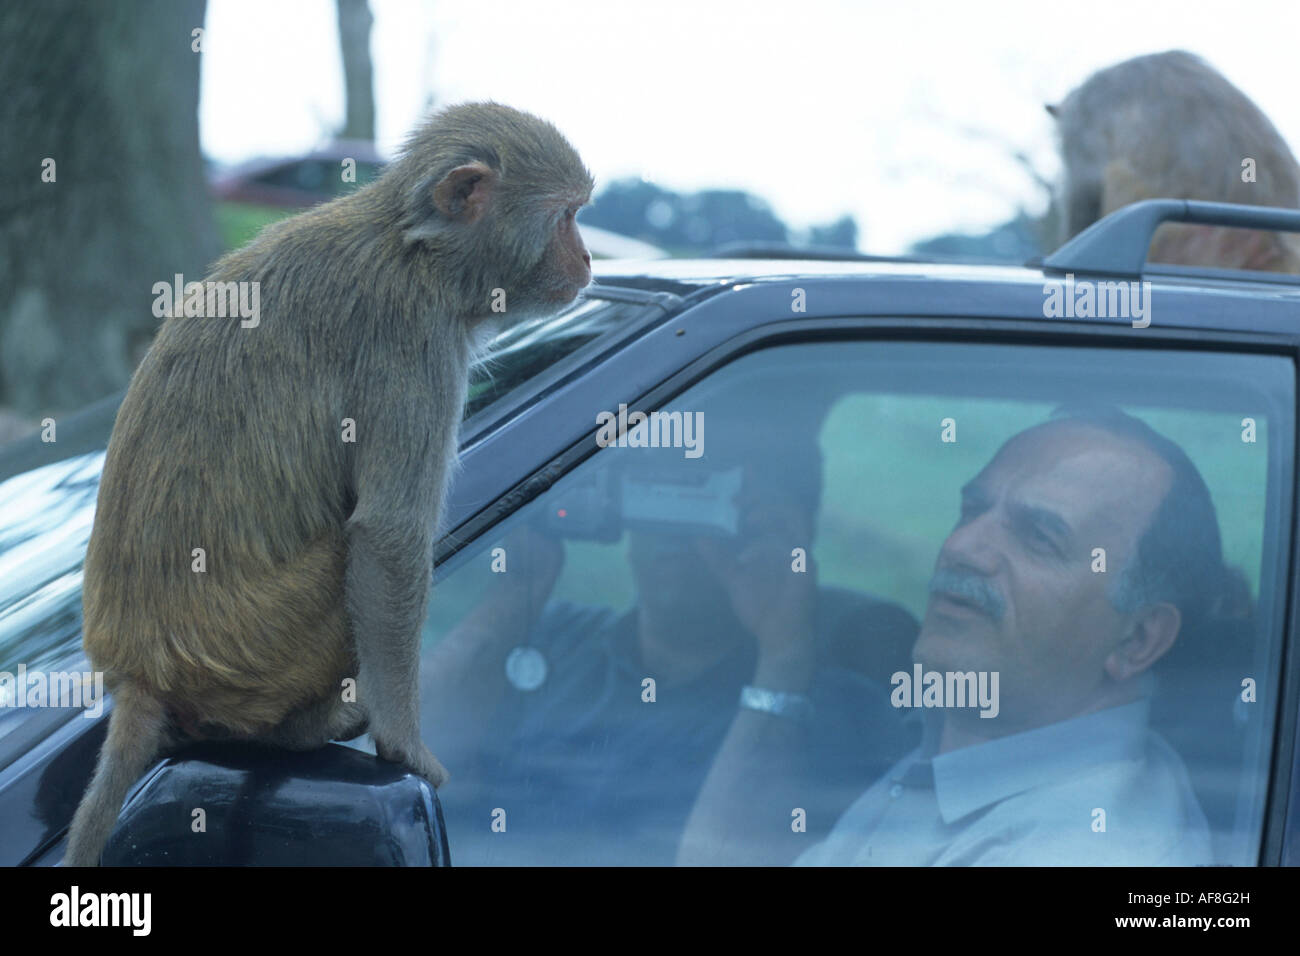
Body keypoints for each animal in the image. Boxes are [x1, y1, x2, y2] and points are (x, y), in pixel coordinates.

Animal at [64, 102, 595, 868]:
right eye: (565, 217)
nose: (590, 259)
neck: (415, 248)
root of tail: (137, 675)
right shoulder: (414, 343)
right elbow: (388, 537)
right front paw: (403, 740)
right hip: (258, 647)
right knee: (350, 563)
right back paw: (299, 730)